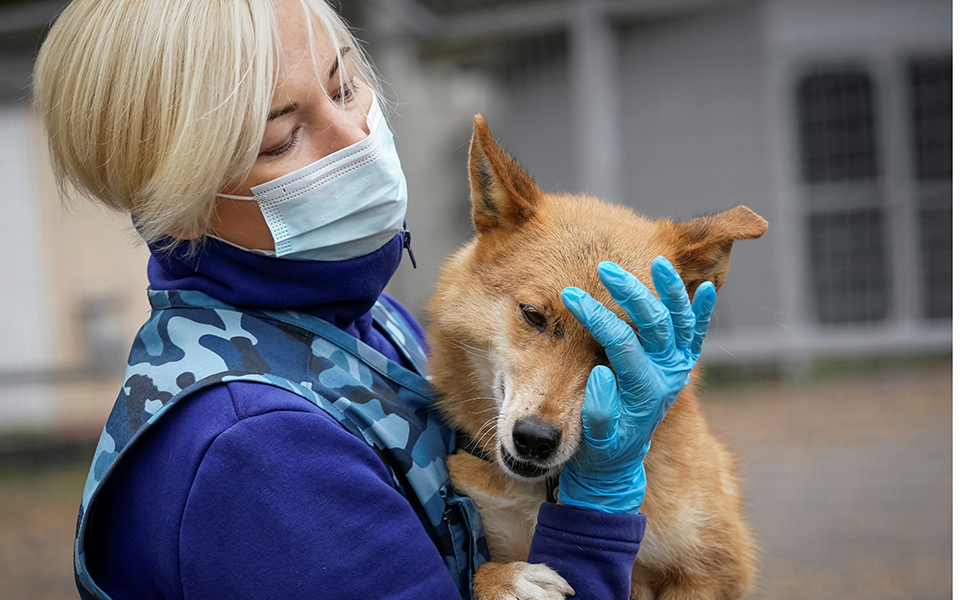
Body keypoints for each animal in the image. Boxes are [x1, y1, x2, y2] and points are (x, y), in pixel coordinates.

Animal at [428, 116, 764, 600]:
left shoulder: (710, 567)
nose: (535, 439)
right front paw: (507, 580)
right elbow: (476, 570)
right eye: (533, 315)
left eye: (621, 345)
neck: (544, 491)